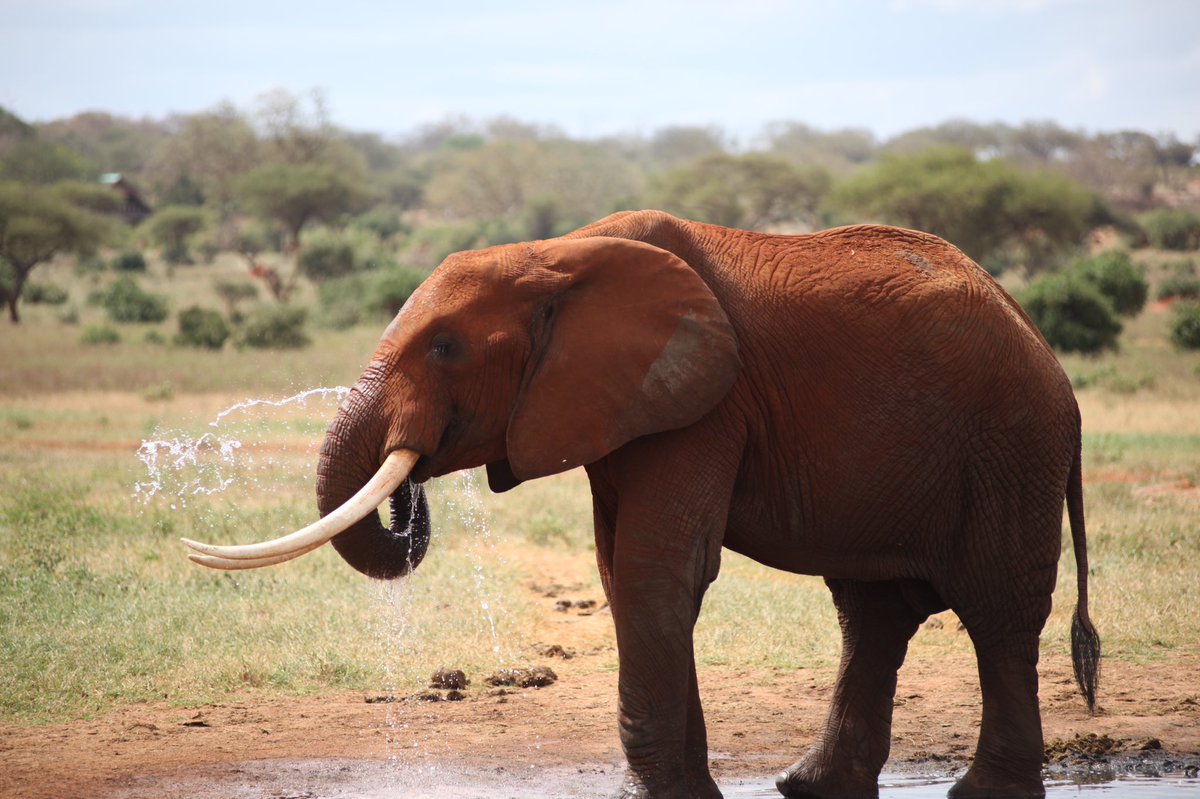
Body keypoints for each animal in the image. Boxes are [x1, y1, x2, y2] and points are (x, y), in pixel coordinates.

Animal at [184, 210, 1100, 799]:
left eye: (445, 348)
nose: (411, 480)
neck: (555, 254)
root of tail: (1050, 358)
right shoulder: (621, 404)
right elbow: (623, 574)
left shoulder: (704, 402)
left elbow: (658, 571)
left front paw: (654, 794)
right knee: (872, 613)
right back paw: (808, 785)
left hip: (1010, 445)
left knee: (996, 612)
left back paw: (980, 792)